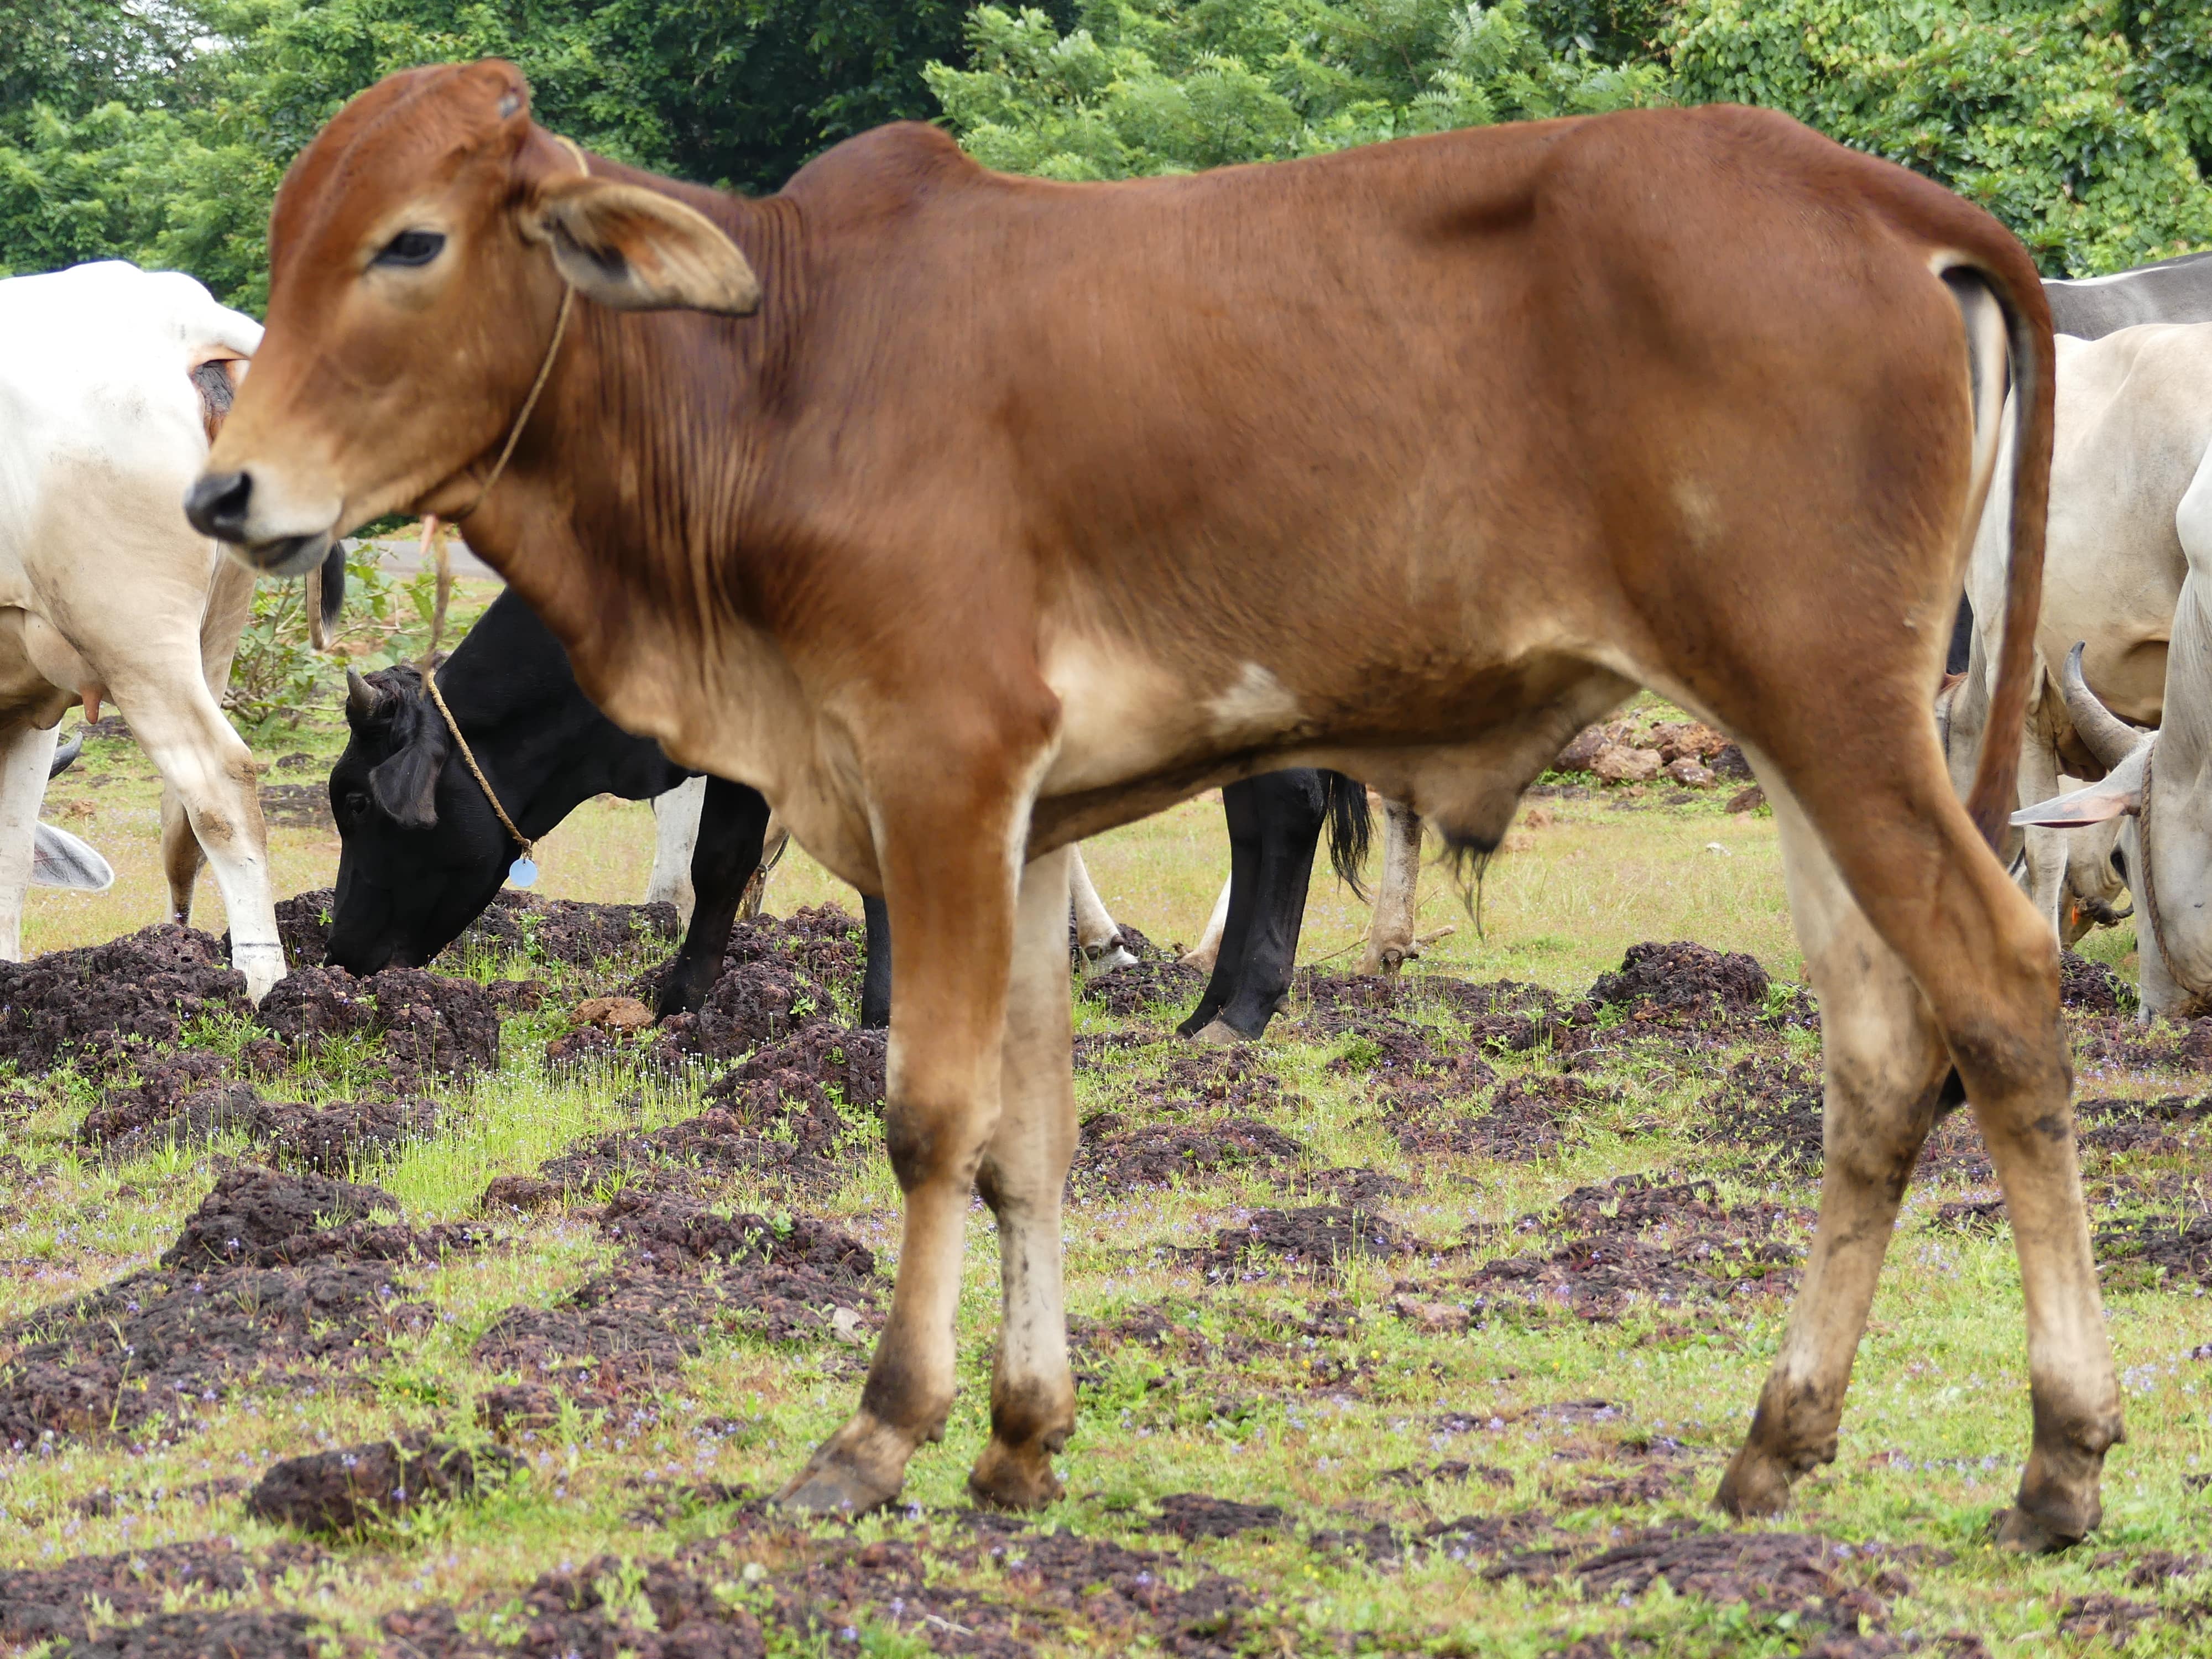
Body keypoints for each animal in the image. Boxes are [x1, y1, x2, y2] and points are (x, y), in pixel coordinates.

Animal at [191, 63, 2107, 1546]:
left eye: (410, 241)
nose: (225, 492)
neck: (772, 373)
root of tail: (1885, 202)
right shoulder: (1025, 824)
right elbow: (1030, 1141)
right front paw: (1021, 1438)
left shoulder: (941, 768)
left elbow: (929, 1115)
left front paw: (880, 1432)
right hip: (1806, 739)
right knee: (1878, 1055)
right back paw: (1778, 1442)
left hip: (1836, 713)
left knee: (2004, 988)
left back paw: (2059, 1459)